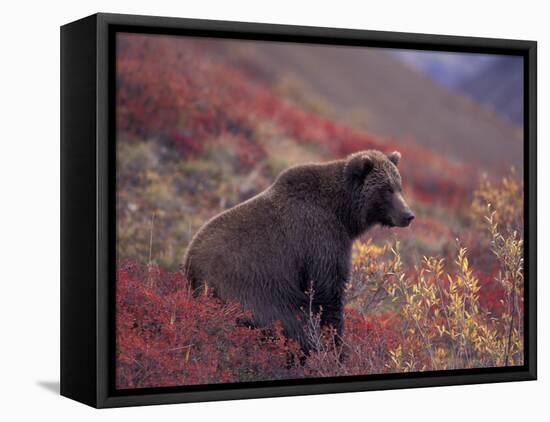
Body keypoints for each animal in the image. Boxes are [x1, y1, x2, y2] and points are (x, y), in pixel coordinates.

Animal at [183, 150, 416, 352]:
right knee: (291, 324)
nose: (408, 215)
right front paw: (337, 346)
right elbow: (327, 291)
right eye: (386, 189)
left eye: (399, 187)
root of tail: (190, 265)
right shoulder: (320, 240)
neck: (343, 214)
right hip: (254, 291)